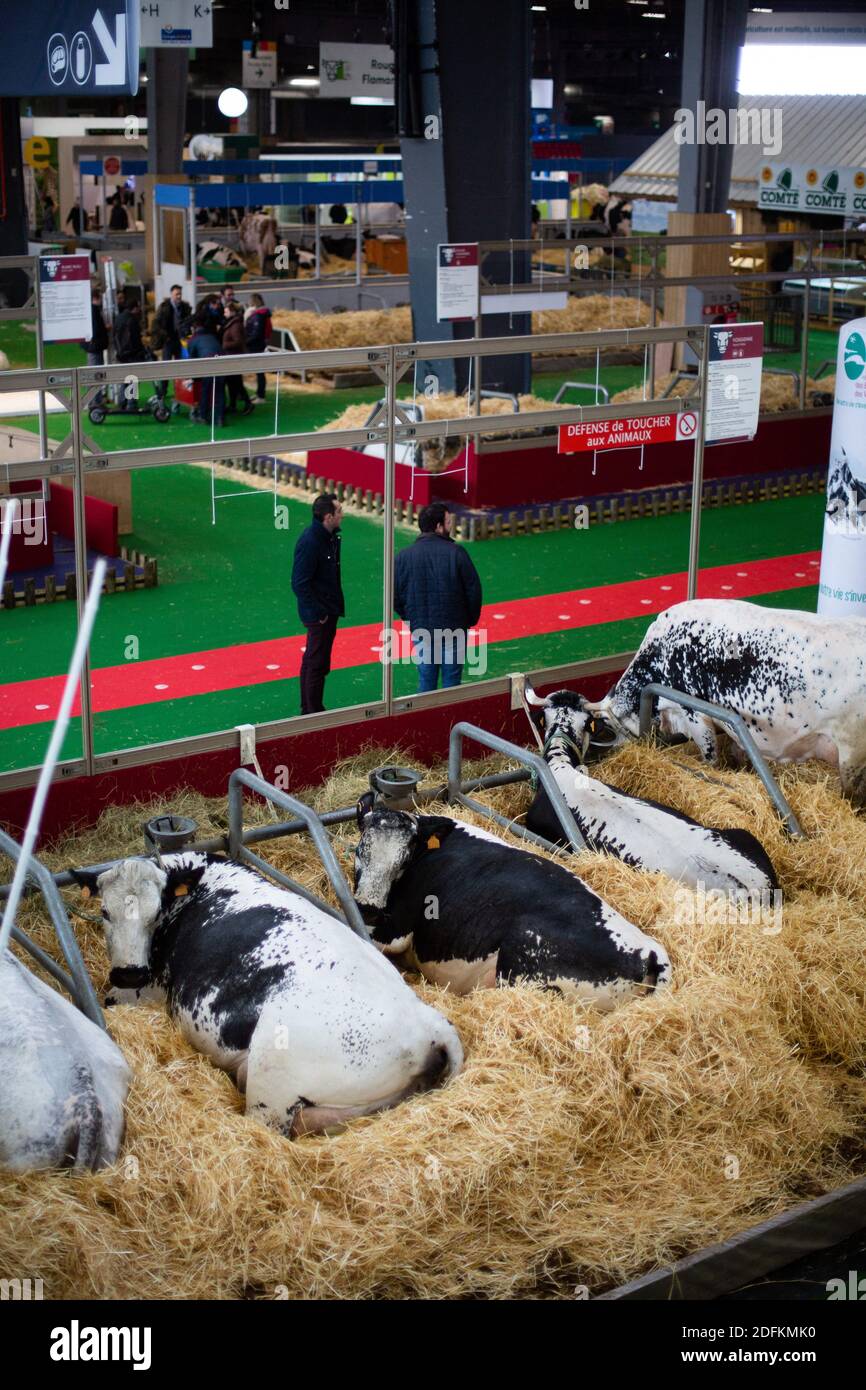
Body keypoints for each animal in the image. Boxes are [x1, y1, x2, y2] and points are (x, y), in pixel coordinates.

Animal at [353, 795, 670, 1011]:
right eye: (359, 849)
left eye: (404, 859)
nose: (367, 909)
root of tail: (650, 952)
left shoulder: (396, 931)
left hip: (522, 954)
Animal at [575, 600, 866, 811]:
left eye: (606, 727)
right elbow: (740, 755)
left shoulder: (694, 714)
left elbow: (710, 758)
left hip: (851, 752)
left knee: (851, 793)